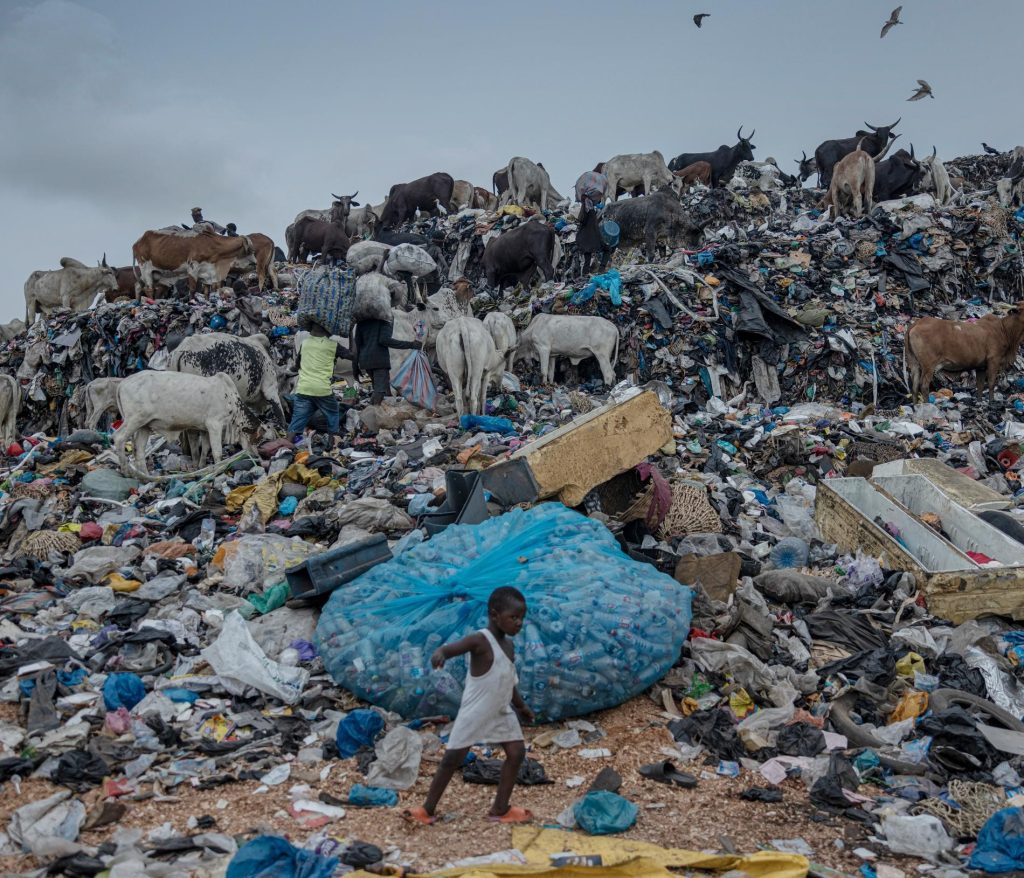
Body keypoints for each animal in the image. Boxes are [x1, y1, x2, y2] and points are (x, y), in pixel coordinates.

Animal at [114, 370, 260, 475]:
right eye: (257, 439)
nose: (257, 456)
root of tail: (122, 383)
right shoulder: (215, 424)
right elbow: (216, 451)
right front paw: (219, 469)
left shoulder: (204, 429)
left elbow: (204, 449)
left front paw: (201, 466)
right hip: (134, 419)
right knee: (119, 438)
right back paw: (126, 471)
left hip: (145, 425)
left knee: (139, 449)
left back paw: (145, 475)